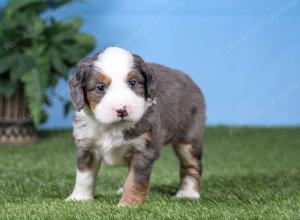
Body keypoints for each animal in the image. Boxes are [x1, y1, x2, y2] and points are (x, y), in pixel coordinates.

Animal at [66, 46, 205, 206]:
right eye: (100, 87)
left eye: (132, 83)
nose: (121, 110)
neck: (112, 128)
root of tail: (189, 79)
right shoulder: (86, 145)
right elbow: (84, 176)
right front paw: (79, 198)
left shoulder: (144, 150)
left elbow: (135, 180)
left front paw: (128, 205)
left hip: (189, 138)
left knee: (192, 165)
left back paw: (188, 193)